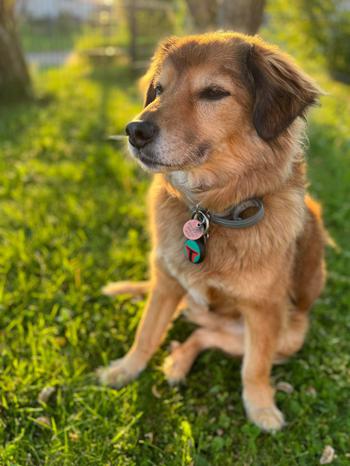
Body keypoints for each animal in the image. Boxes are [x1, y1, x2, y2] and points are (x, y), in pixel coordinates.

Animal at [97, 32, 326, 432]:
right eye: (159, 89)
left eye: (214, 93)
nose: (134, 131)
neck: (210, 211)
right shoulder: (166, 281)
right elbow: (147, 332)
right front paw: (125, 369)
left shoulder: (265, 312)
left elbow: (255, 368)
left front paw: (261, 407)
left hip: (289, 335)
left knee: (208, 335)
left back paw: (178, 362)